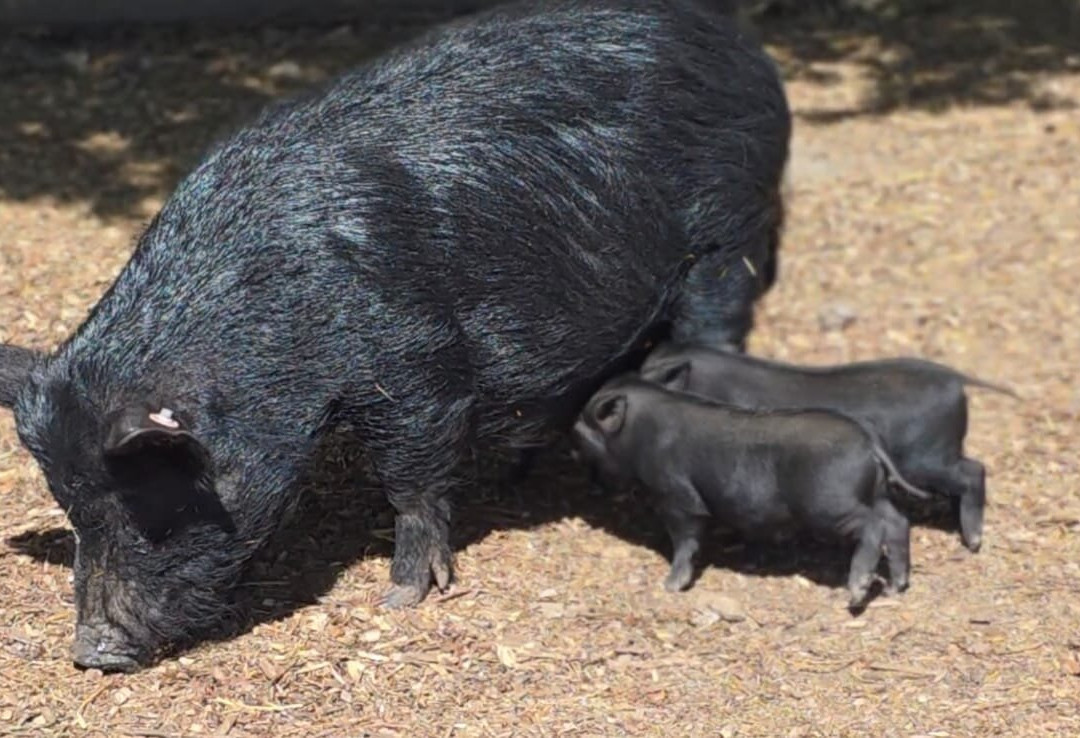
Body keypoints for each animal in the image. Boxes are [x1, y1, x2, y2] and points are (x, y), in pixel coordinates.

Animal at [0, 0, 790, 671]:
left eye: (153, 511)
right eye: (72, 509)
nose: (92, 653)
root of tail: (745, 53)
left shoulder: (416, 359)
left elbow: (412, 474)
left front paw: (402, 596)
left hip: (727, 237)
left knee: (715, 332)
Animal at [571, 374, 928, 608]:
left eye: (586, 423)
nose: (571, 429)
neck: (641, 433)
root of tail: (868, 441)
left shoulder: (677, 496)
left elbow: (685, 539)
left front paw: (670, 587)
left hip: (829, 503)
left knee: (873, 526)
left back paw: (855, 595)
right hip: (874, 493)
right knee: (897, 521)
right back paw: (896, 588)